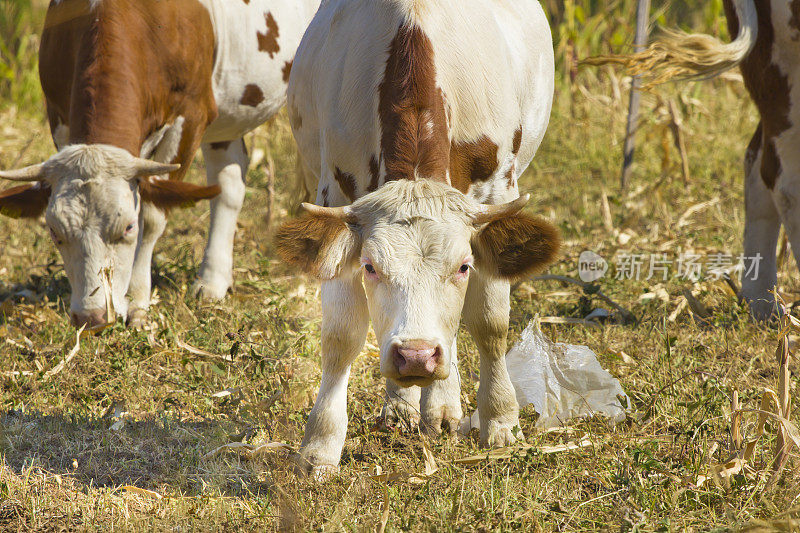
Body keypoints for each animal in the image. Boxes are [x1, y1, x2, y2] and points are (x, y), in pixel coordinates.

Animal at [0, 0, 318, 328]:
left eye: (127, 228)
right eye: (55, 231)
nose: (92, 317)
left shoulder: (191, 114)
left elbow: (152, 215)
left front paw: (137, 299)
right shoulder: (58, 113)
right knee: (229, 182)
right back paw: (213, 281)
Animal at [272, 0, 560, 476]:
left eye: (463, 266)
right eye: (370, 267)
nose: (417, 357)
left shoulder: (498, 195)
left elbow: (489, 323)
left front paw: (500, 419)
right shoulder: (337, 195)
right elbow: (341, 338)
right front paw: (320, 446)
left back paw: (440, 404)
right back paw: (405, 404)